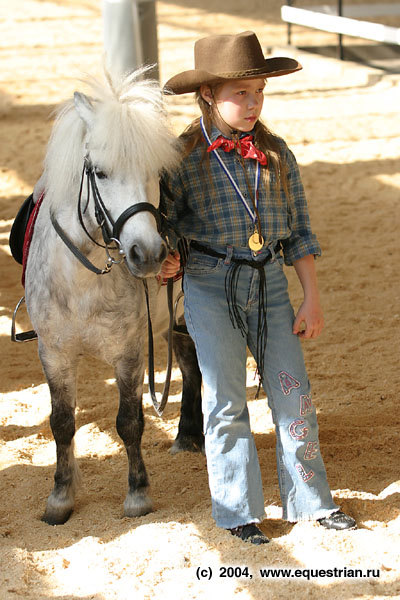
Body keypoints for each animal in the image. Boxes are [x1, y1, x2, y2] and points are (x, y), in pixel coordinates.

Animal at [24, 70, 203, 524]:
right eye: (100, 173)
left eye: (155, 172)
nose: (149, 253)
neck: (84, 282)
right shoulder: (54, 354)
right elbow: (62, 422)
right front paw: (60, 497)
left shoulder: (130, 353)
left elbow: (129, 422)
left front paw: (138, 494)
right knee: (190, 367)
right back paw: (187, 437)